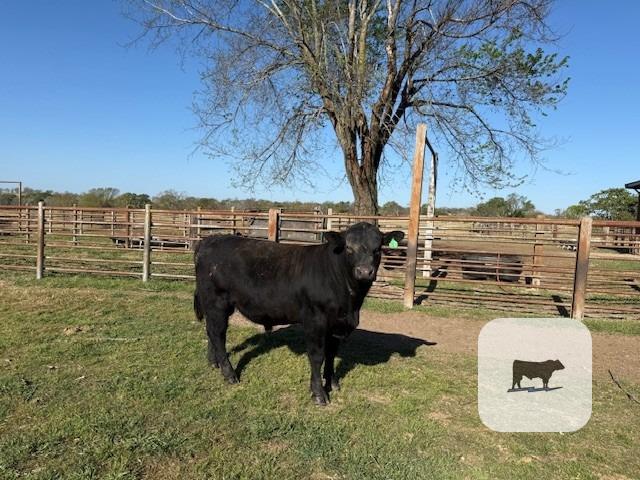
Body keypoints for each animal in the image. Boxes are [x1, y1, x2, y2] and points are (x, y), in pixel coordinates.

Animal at [193, 222, 404, 405]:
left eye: (378, 249)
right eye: (348, 248)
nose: (364, 271)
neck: (350, 303)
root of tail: (209, 240)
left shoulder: (336, 324)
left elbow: (331, 354)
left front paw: (332, 383)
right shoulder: (315, 321)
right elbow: (317, 356)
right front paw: (319, 393)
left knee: (211, 331)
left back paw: (213, 363)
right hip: (216, 302)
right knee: (218, 334)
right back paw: (229, 374)